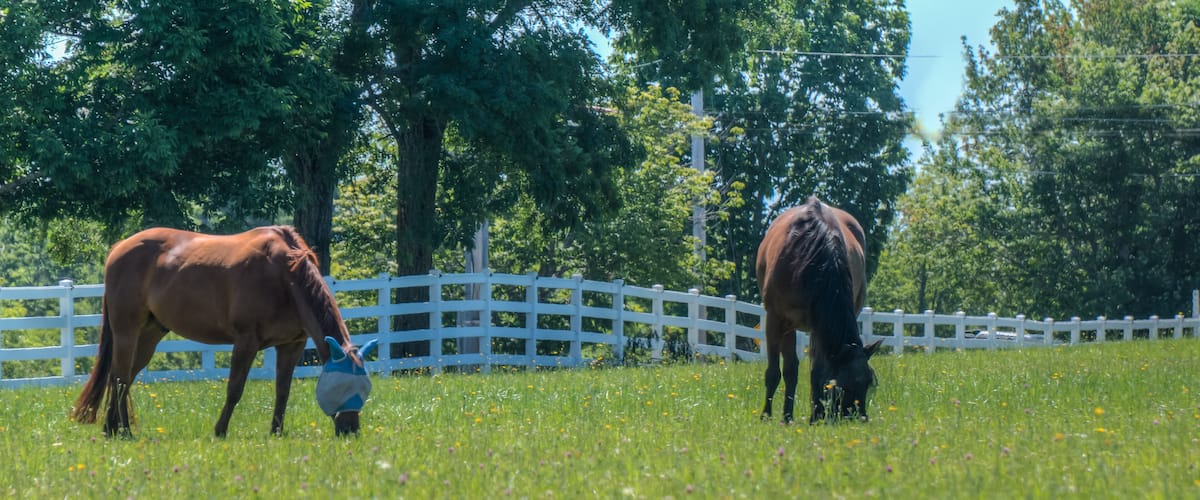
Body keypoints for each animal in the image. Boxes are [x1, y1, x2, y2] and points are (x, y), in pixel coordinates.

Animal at [70, 226, 377, 437]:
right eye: (340, 386)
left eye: (365, 388)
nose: (350, 431)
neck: (284, 276)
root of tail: (120, 247)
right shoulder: (246, 342)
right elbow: (234, 389)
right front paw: (220, 430)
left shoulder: (292, 345)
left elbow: (283, 391)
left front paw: (276, 432)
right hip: (127, 330)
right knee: (121, 377)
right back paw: (124, 431)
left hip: (149, 335)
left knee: (123, 377)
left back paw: (111, 428)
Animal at [756, 196, 883, 424]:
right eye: (843, 386)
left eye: (868, 382)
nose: (859, 418)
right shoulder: (776, 319)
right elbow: (776, 372)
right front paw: (768, 416)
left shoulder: (819, 322)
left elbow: (816, 369)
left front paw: (815, 414)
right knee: (791, 368)